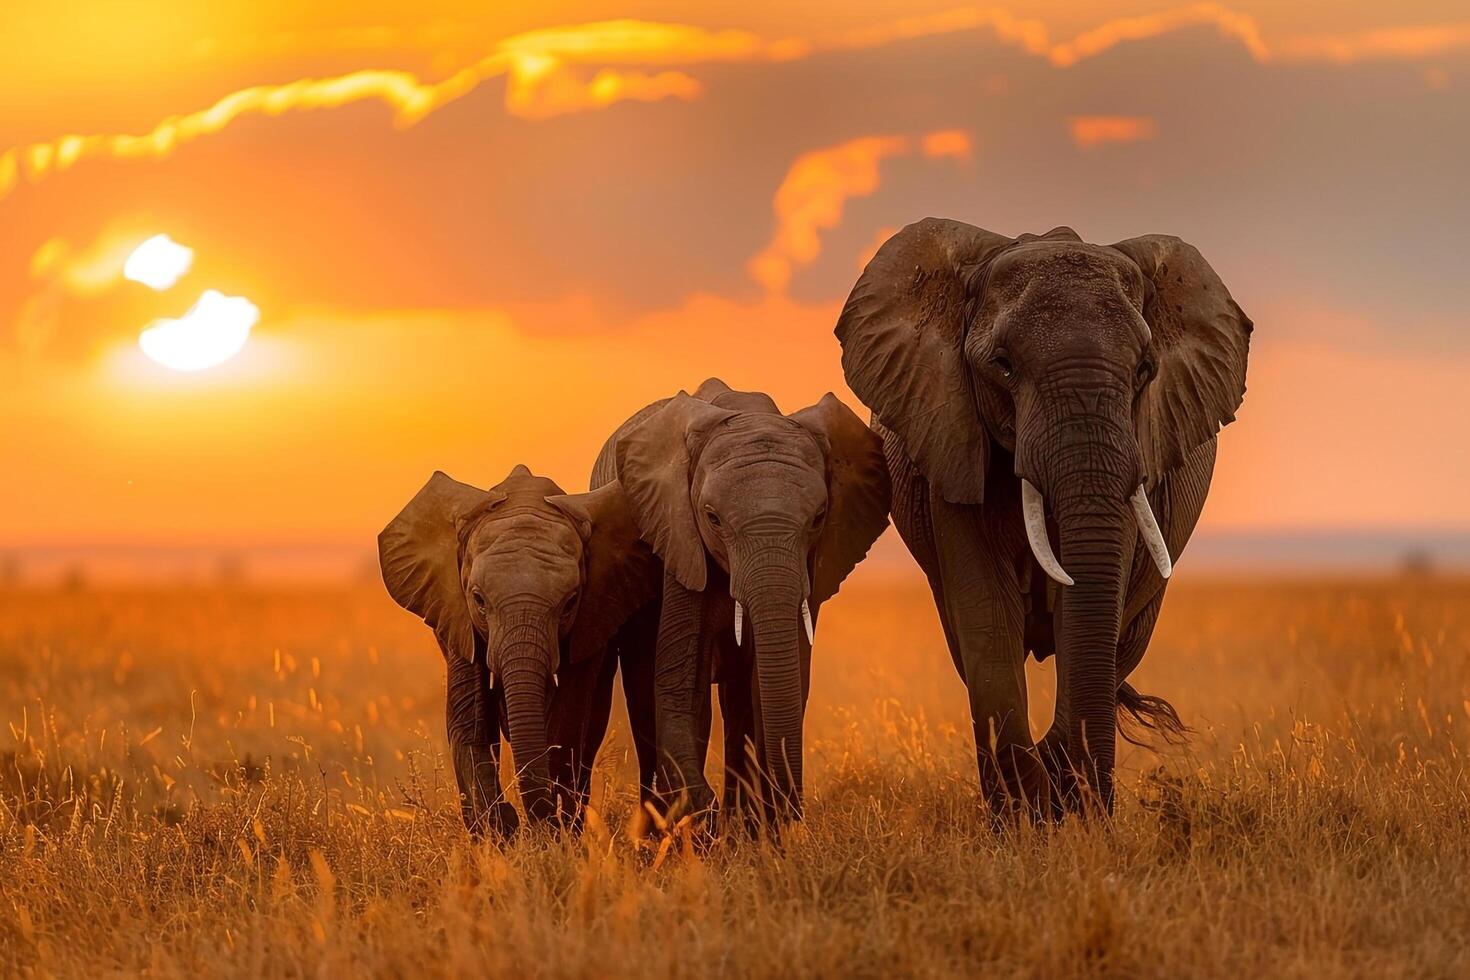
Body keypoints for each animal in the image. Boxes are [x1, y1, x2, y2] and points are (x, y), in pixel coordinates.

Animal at [378, 465, 661, 834]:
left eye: (570, 602)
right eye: (478, 600)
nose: (519, 820)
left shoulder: (592, 612)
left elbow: (567, 723)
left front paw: (551, 834)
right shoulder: (456, 614)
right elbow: (470, 721)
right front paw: (499, 831)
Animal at [591, 378, 891, 823]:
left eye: (819, 516)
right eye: (712, 518)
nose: (791, 810)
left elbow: (774, 686)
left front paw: (750, 827)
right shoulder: (680, 540)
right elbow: (682, 686)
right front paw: (704, 814)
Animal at [835, 219, 1251, 817]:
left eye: (1145, 370)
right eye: (1003, 365)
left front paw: (1069, 807)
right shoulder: (955, 436)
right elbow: (986, 617)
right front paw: (1025, 817)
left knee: (1126, 644)